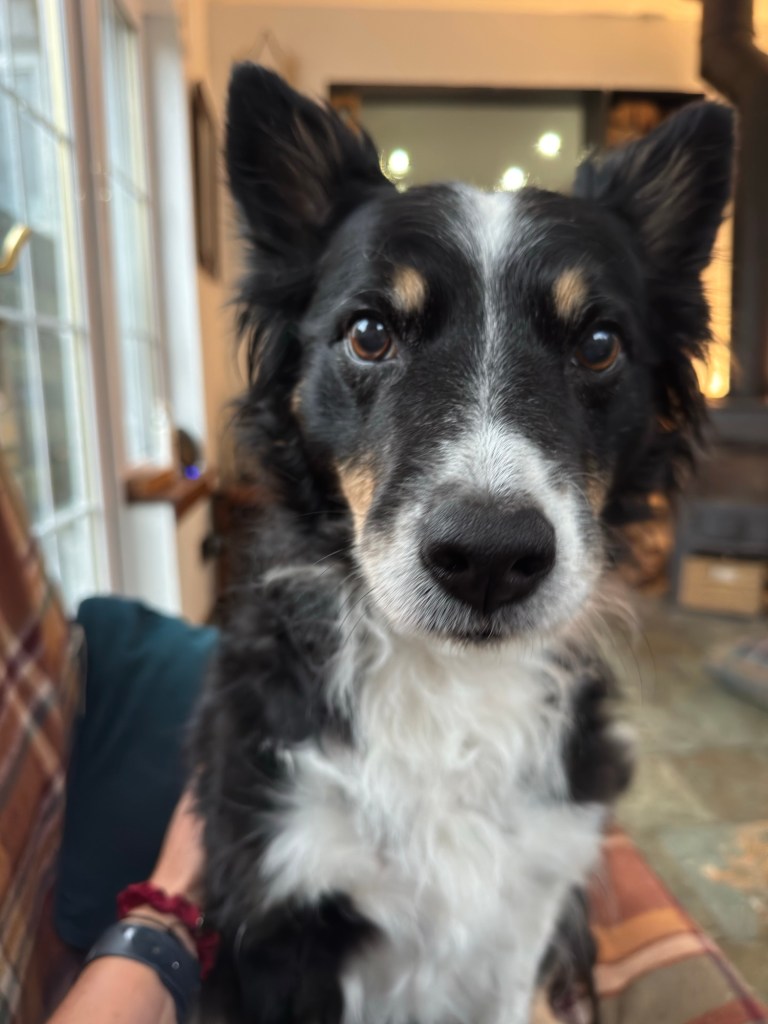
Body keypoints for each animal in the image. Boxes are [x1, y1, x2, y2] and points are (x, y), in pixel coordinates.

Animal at [192, 65, 733, 1024]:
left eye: (600, 344)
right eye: (370, 332)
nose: (488, 559)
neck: (448, 684)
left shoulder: (526, 907)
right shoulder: (281, 916)